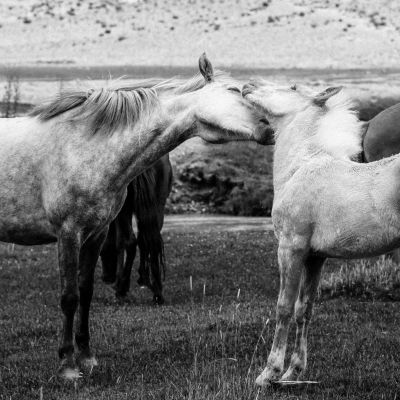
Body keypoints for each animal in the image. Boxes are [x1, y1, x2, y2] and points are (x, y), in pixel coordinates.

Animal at [0, 54, 274, 380]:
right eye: (234, 90)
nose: (270, 128)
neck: (87, 146)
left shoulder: (96, 234)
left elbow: (85, 291)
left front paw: (87, 357)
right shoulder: (68, 233)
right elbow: (69, 297)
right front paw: (67, 365)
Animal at [242, 80, 400, 384]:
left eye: (292, 87)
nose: (247, 85)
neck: (301, 167)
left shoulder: (290, 248)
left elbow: (284, 307)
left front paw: (269, 374)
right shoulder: (315, 257)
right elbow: (305, 309)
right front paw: (293, 371)